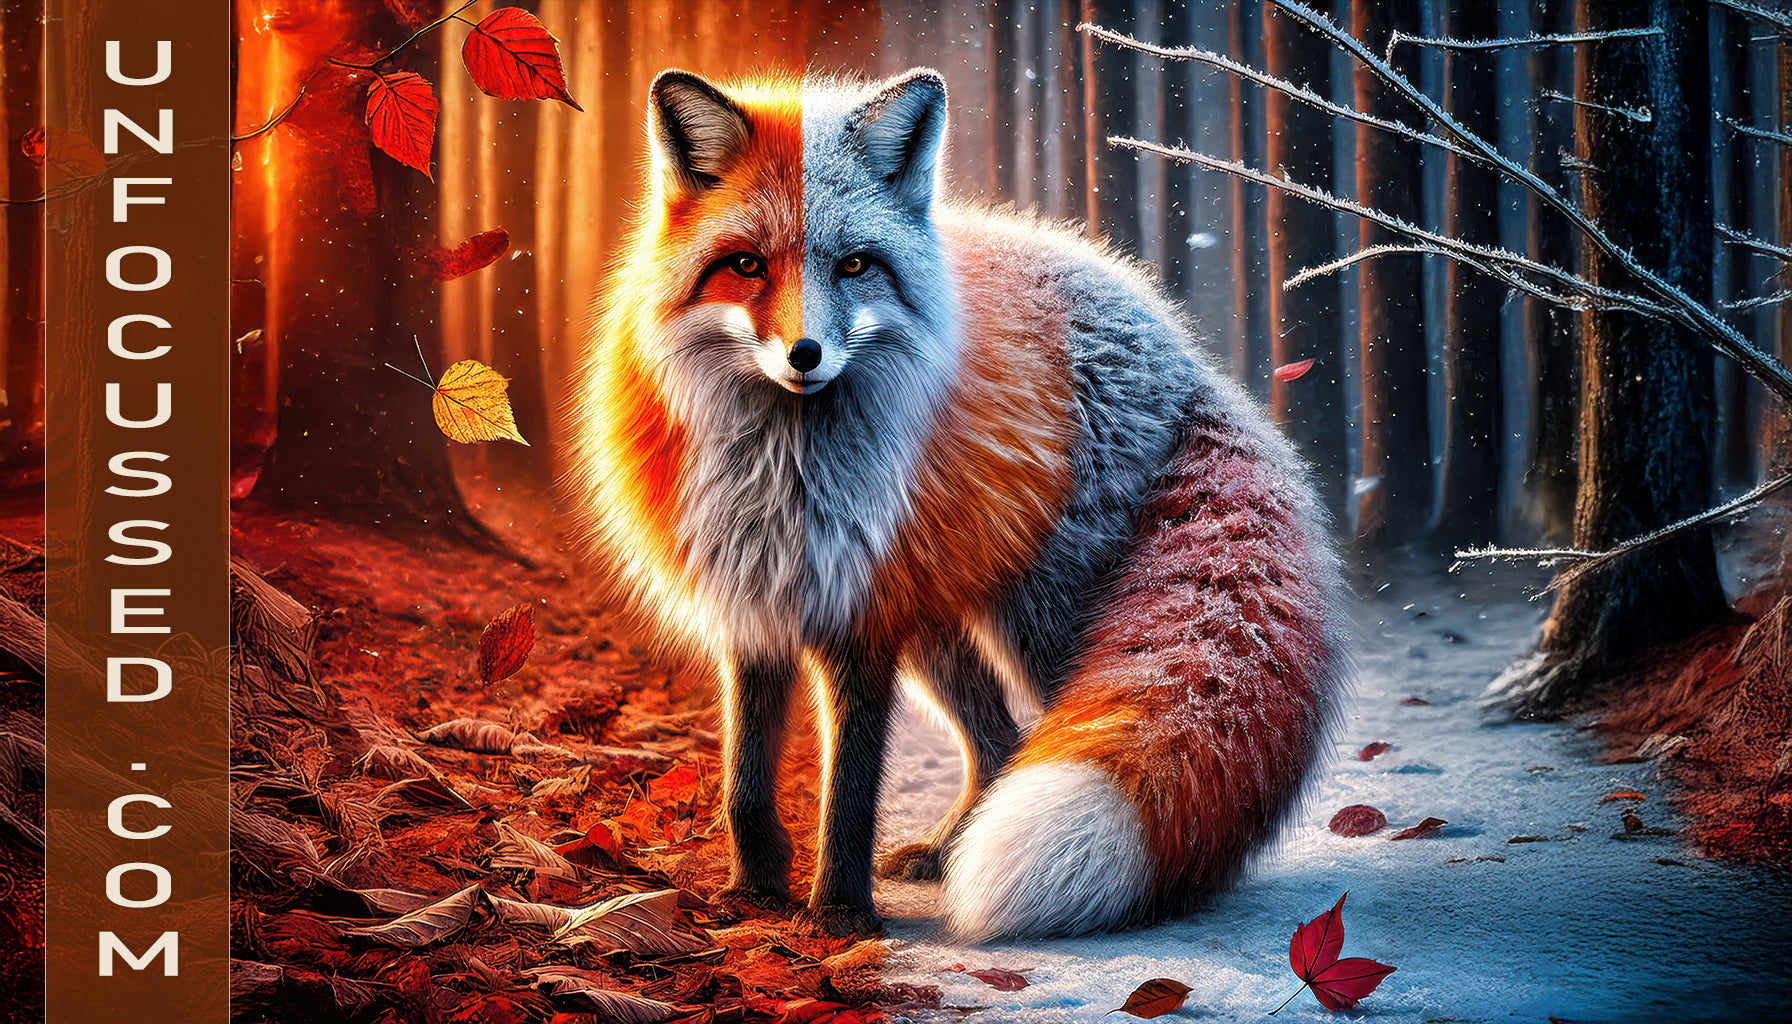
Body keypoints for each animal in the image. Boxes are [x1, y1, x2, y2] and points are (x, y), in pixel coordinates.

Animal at [566, 67, 1348, 941]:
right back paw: (951, 853)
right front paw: (753, 892)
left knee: (1048, 729)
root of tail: (1187, 354)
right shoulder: (757, 606)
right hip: (942, 625)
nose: (805, 354)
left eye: (855, 266)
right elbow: (743, 777)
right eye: (745, 265)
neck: (784, 468)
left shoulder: (864, 621)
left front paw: (839, 915)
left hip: (1046, 624)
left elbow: (851, 789)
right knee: (1000, 743)